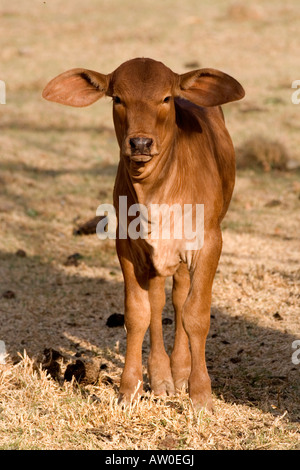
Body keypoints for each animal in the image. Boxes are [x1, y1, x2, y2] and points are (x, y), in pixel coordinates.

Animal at [43, 58, 245, 410]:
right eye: (117, 98)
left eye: (165, 98)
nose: (140, 143)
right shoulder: (128, 247)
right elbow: (139, 314)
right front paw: (129, 389)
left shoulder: (209, 243)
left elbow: (196, 314)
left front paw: (201, 393)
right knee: (160, 301)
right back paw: (164, 376)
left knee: (179, 299)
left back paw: (181, 371)